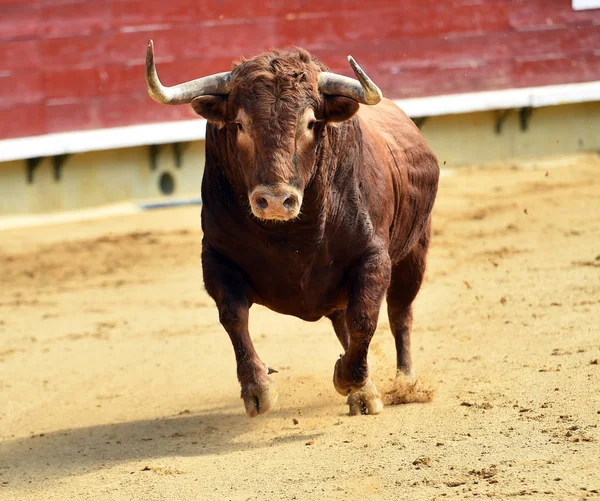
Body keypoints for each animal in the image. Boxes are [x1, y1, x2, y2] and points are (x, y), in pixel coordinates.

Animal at [144, 41, 438, 416]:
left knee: (400, 313)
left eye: (311, 122)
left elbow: (365, 318)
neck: (292, 237)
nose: (274, 200)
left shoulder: (375, 258)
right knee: (344, 320)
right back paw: (366, 391)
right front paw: (258, 389)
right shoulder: (216, 258)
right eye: (239, 124)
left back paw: (405, 383)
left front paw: (348, 379)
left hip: (415, 252)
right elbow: (234, 316)